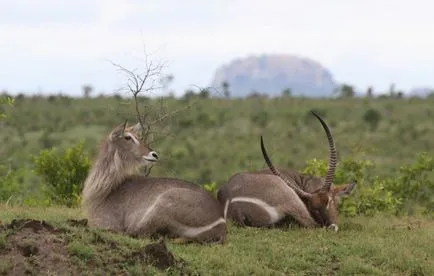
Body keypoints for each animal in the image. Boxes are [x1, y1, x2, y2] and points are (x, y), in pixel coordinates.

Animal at [82, 121, 229, 244]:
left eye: (138, 136)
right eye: (127, 137)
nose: (154, 154)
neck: (105, 192)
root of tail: (220, 223)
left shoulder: (102, 222)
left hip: (162, 205)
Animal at [217, 110, 356, 231]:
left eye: (330, 201)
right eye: (314, 208)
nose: (331, 227)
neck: (301, 180)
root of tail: (236, 208)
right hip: (290, 198)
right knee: (311, 224)